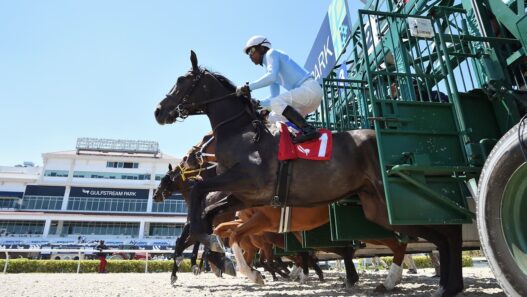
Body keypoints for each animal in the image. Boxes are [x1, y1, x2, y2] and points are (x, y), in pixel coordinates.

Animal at [154, 49, 466, 294]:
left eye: (181, 81)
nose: (158, 110)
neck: (242, 133)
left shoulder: (248, 183)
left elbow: (199, 193)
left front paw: (216, 254)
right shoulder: (245, 196)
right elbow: (212, 217)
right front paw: (225, 258)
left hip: (395, 201)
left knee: (445, 231)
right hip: (379, 208)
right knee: (438, 234)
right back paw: (444, 285)